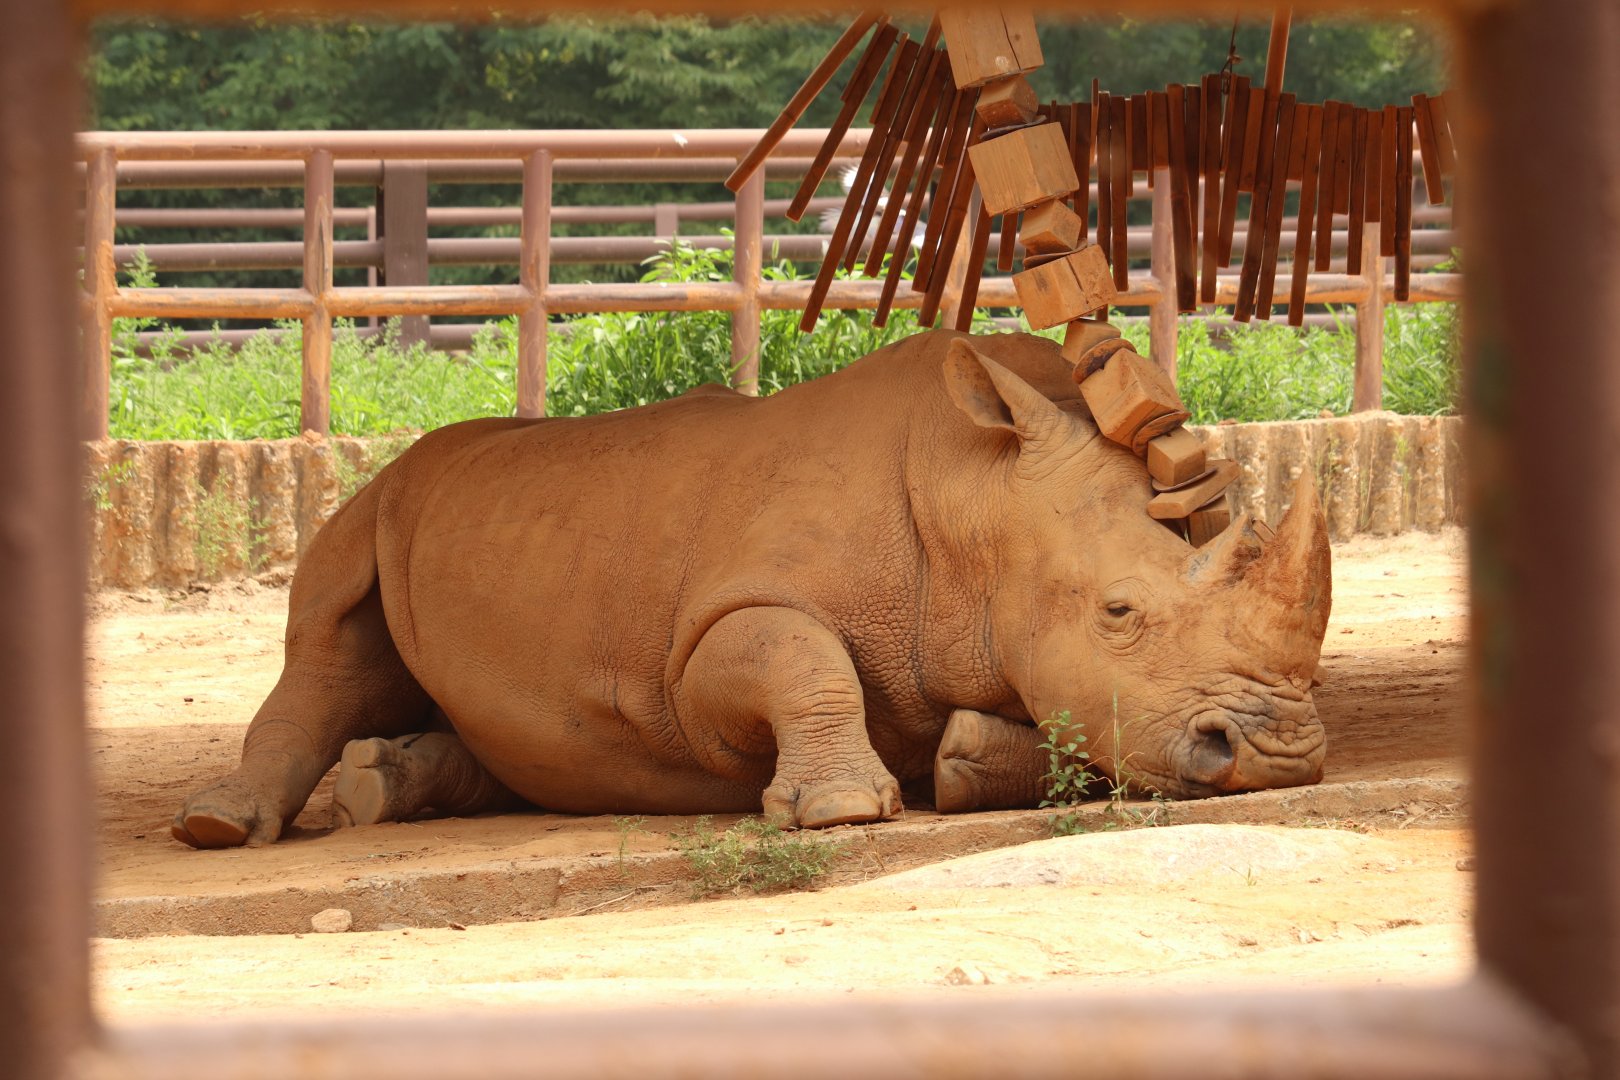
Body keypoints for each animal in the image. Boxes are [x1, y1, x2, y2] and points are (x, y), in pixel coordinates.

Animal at [171, 330, 1331, 848]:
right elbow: (798, 658)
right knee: (328, 644)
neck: (974, 500)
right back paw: (222, 828)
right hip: (379, 499)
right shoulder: (698, 652)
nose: (1277, 759)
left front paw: (958, 763)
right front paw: (843, 811)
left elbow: (1066, 729)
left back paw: (383, 790)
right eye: (1119, 612)